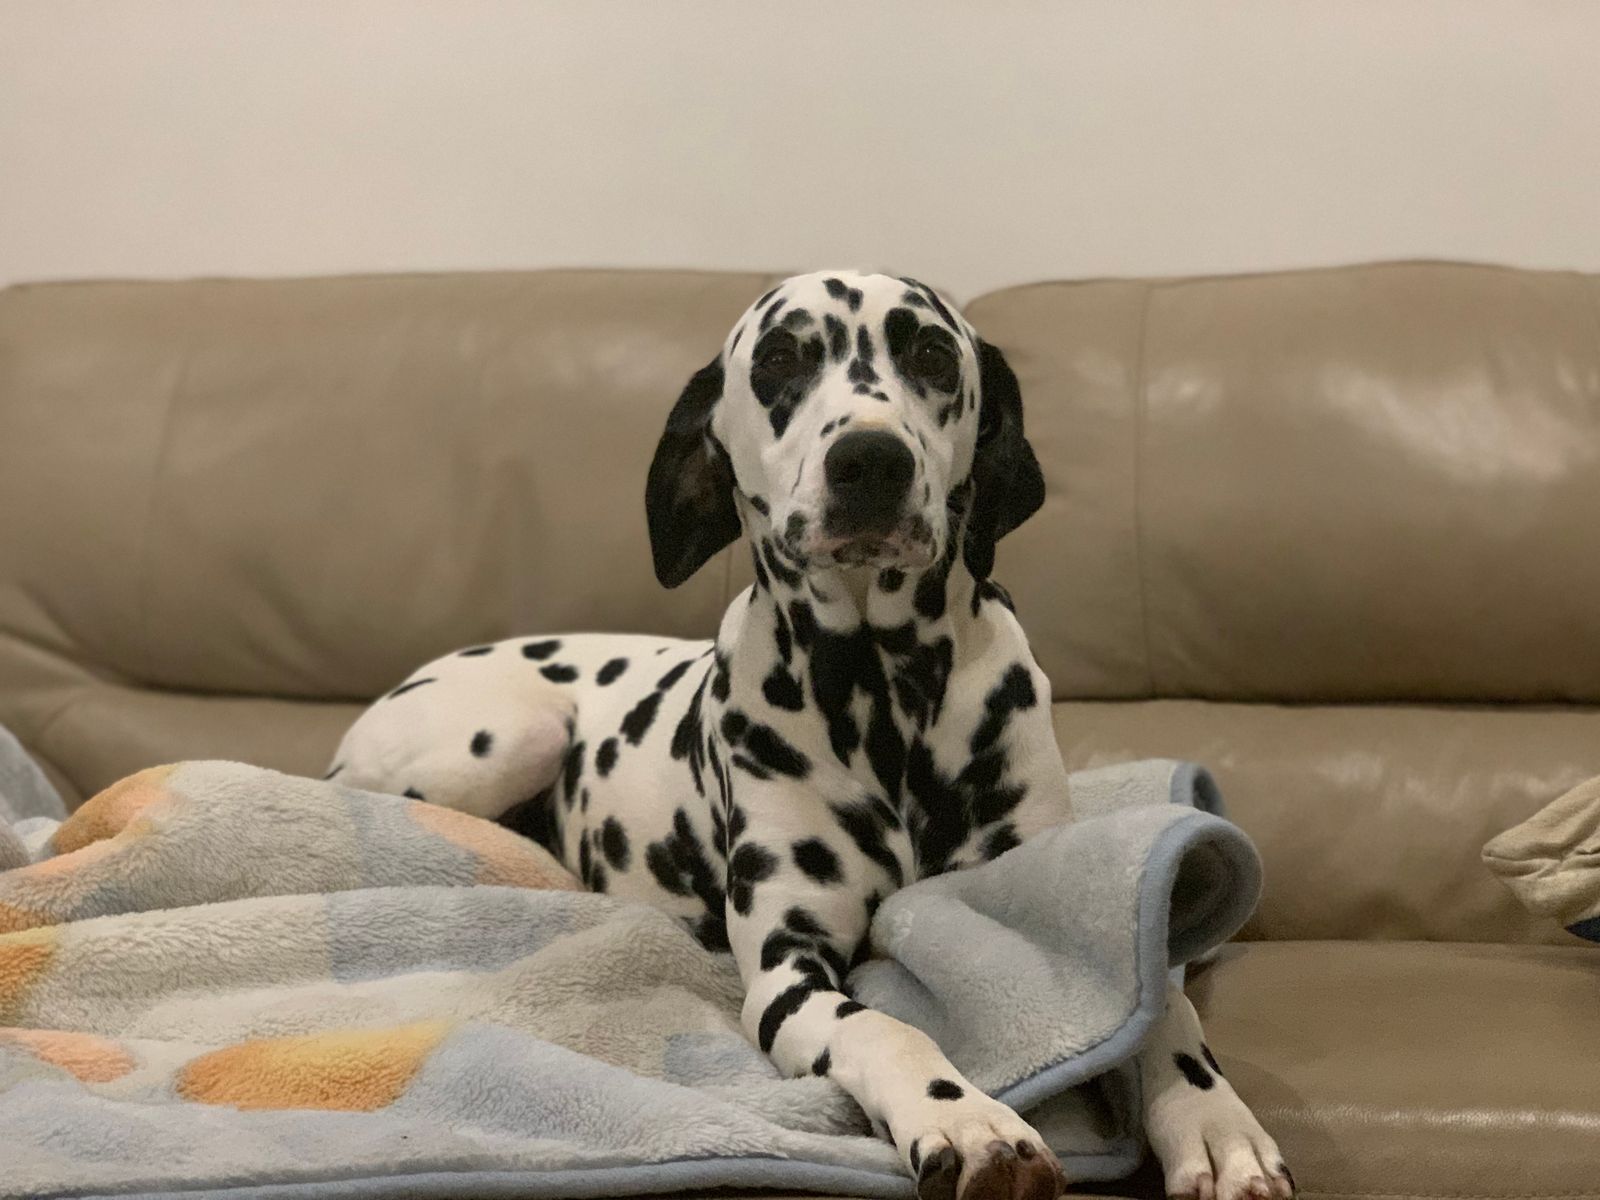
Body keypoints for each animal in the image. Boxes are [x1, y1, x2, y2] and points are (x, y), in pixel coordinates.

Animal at [331, 271, 1294, 1200]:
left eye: (933, 356)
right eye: (780, 359)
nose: (870, 459)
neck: (880, 691)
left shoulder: (1039, 886)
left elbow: (1160, 1003)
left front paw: (1213, 1123)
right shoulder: (787, 972)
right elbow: (885, 1031)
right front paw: (968, 1121)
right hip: (517, 737)